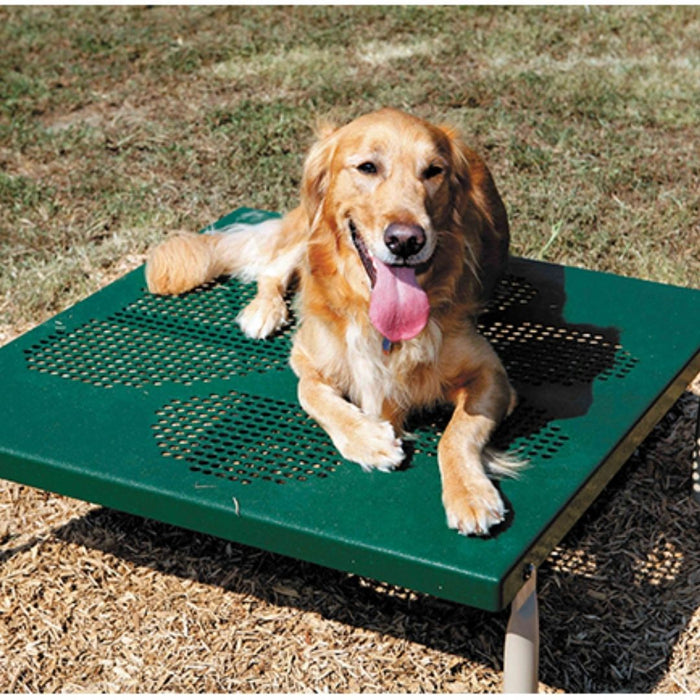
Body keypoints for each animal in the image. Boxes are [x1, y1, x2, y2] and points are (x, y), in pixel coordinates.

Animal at [146, 108, 520, 536]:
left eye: (433, 171)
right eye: (368, 167)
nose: (406, 240)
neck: (371, 310)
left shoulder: (491, 375)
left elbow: (458, 433)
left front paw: (469, 492)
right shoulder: (307, 356)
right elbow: (310, 394)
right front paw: (368, 439)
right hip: (307, 233)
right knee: (273, 269)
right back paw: (263, 312)